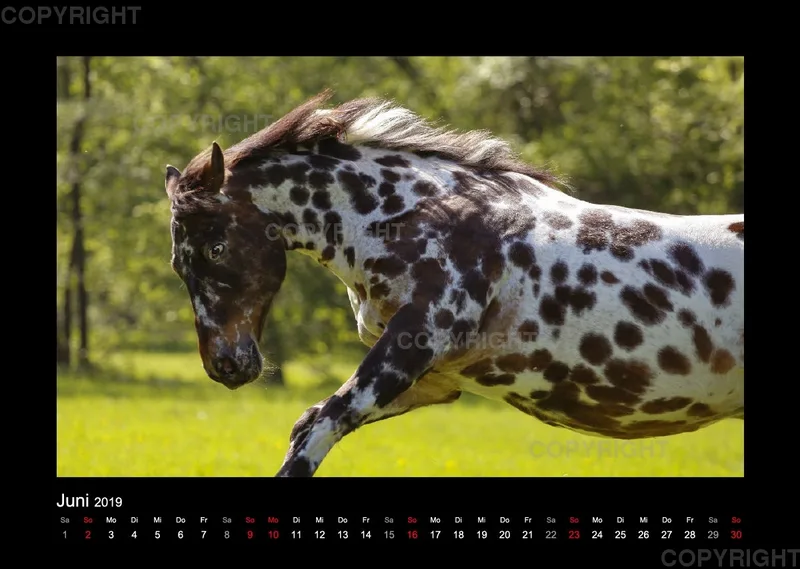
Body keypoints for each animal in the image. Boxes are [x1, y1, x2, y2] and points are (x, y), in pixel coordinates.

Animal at [163, 90, 744, 477]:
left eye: (215, 249)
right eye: (176, 264)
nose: (225, 365)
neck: (417, 216)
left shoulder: (410, 348)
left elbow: (317, 431)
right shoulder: (436, 381)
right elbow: (306, 425)